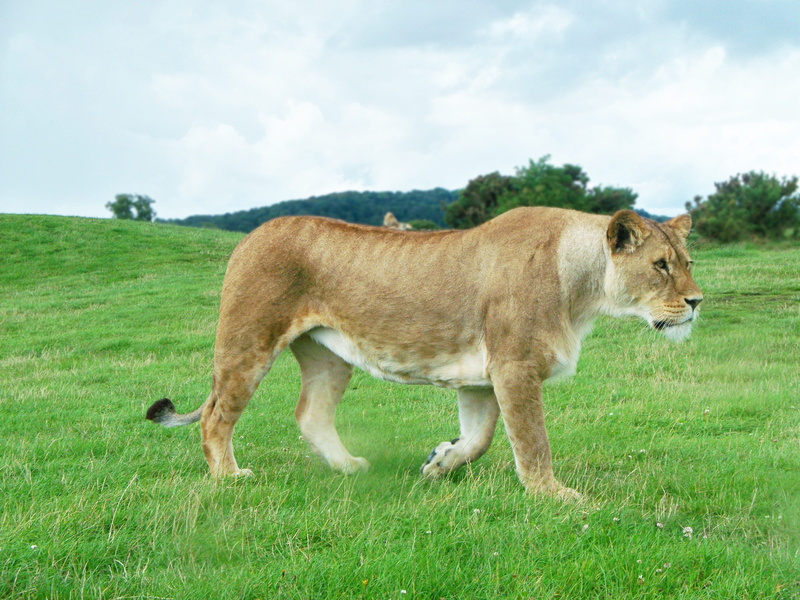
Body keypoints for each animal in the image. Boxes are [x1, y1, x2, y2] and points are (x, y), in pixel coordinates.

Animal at [146, 207, 702, 499]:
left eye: (688, 262)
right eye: (660, 265)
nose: (697, 302)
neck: (583, 288)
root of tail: (250, 235)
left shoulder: (482, 378)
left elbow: (480, 439)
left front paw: (439, 461)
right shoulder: (514, 366)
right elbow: (532, 441)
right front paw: (554, 496)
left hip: (329, 356)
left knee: (310, 413)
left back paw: (347, 467)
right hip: (249, 341)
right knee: (215, 415)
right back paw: (228, 477)